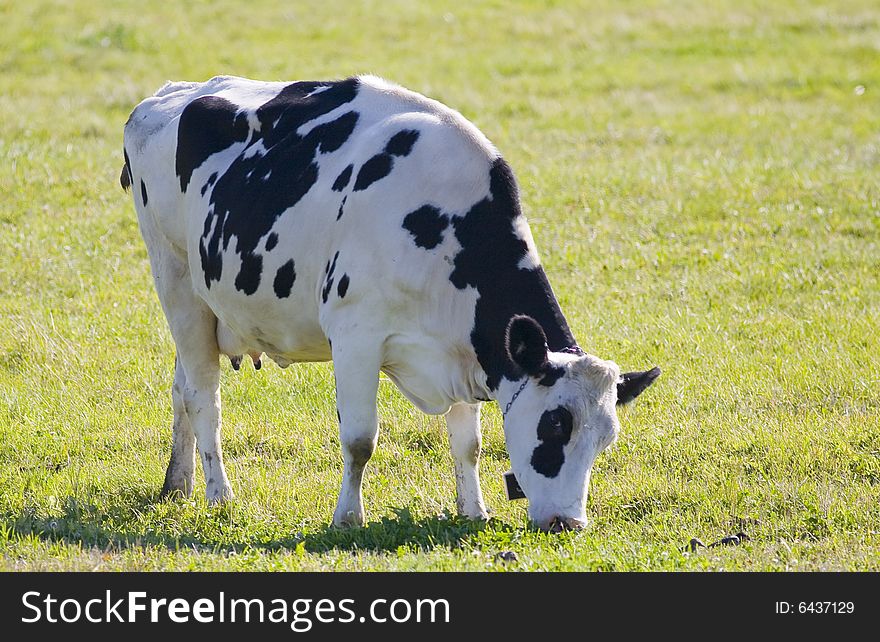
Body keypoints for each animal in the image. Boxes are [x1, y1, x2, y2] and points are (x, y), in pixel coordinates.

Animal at [124, 74, 660, 528]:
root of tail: (170, 94)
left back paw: (178, 484)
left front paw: (474, 510)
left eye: (605, 440)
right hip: (174, 278)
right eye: (553, 427)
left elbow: (469, 444)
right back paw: (219, 495)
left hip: (203, 305)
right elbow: (360, 439)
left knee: (182, 387)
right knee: (203, 396)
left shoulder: (465, 349)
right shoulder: (355, 335)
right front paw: (347, 518)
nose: (568, 523)